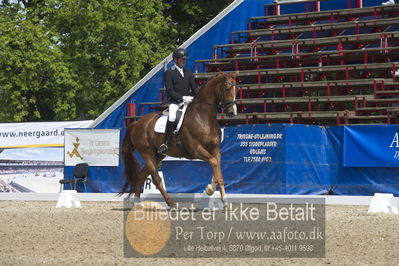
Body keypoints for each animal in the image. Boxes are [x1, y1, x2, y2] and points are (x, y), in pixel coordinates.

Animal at [121, 71, 238, 207]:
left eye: (236, 90)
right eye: (227, 88)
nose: (232, 113)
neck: (203, 117)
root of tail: (136, 123)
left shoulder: (215, 149)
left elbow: (217, 169)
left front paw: (214, 192)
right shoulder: (196, 150)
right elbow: (214, 163)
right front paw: (221, 197)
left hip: (157, 155)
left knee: (141, 176)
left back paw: (138, 204)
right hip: (147, 152)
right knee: (156, 178)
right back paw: (170, 203)